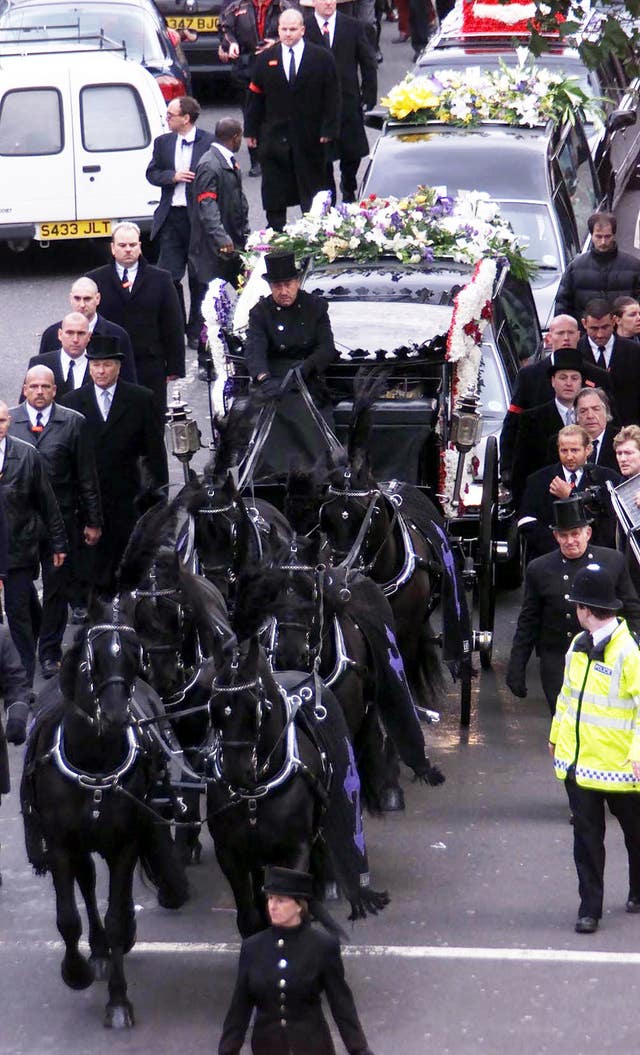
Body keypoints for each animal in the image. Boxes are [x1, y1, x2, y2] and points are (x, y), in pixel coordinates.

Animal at [21, 595, 187, 1029]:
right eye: (91, 658)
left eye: (134, 653)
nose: (114, 714)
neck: (93, 760)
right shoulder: (61, 845)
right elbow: (68, 917)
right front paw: (76, 970)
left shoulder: (124, 842)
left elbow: (114, 915)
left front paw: (118, 999)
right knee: (88, 882)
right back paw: (94, 952)